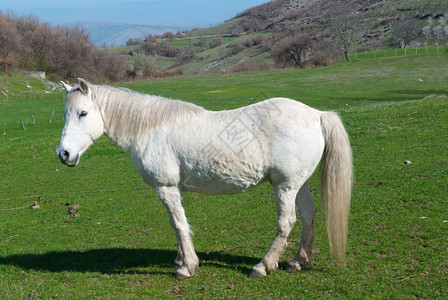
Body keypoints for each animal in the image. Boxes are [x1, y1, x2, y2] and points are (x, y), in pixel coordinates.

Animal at [57, 78, 352, 278]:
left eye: (83, 113)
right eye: (65, 114)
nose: (64, 154)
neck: (151, 128)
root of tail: (316, 115)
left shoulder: (165, 187)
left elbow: (179, 224)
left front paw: (187, 267)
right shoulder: (174, 188)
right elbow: (177, 223)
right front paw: (180, 260)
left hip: (285, 186)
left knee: (287, 221)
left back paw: (263, 265)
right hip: (298, 184)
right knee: (308, 215)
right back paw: (298, 261)